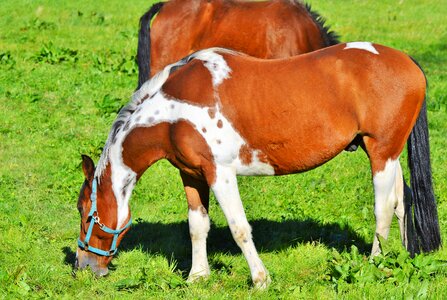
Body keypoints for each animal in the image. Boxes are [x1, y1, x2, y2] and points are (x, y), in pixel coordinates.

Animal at [78, 42, 440, 288]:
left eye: (86, 214)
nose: (83, 266)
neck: (172, 111)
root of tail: (407, 61)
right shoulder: (192, 175)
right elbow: (197, 226)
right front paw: (198, 276)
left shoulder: (220, 174)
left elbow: (239, 227)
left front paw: (260, 279)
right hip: (386, 154)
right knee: (401, 202)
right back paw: (399, 257)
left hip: (381, 153)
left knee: (383, 208)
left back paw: (375, 263)